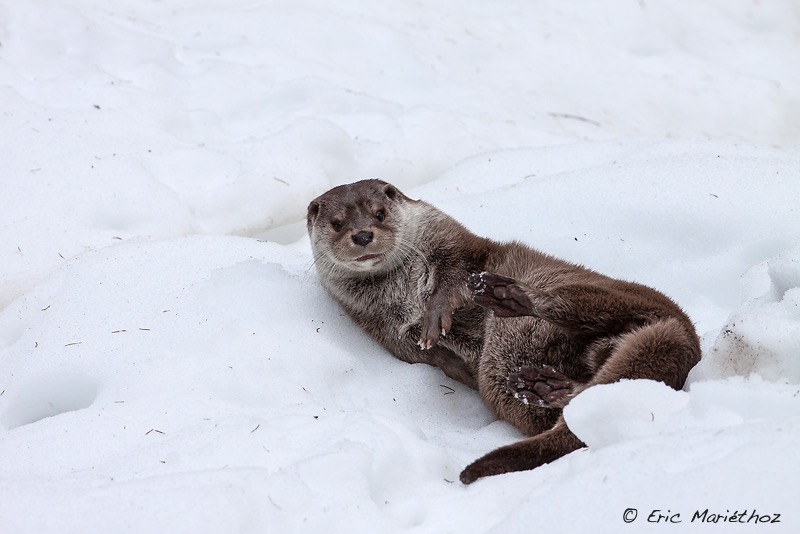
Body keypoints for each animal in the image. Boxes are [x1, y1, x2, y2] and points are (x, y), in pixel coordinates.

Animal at [306, 180, 700, 486]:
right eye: (337, 223)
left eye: (379, 213)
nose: (362, 234)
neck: (401, 290)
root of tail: (690, 341)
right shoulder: (389, 333)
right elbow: (430, 354)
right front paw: (448, 356)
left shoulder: (455, 247)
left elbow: (454, 277)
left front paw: (437, 315)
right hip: (501, 378)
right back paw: (546, 386)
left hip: (606, 295)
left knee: (569, 307)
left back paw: (510, 296)